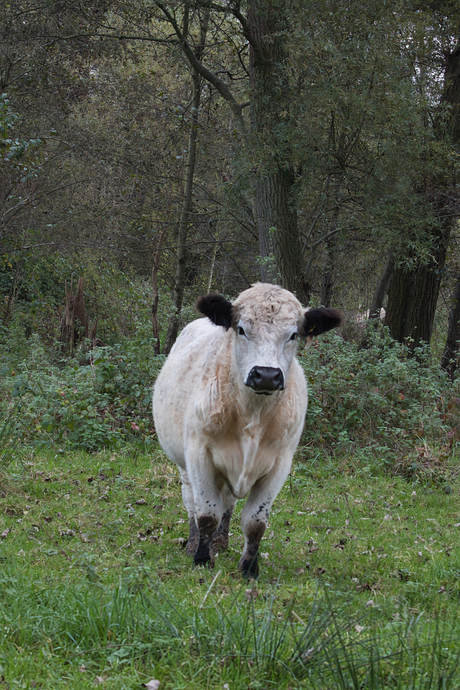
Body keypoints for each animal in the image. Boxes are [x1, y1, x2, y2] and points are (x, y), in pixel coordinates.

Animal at [154, 282, 342, 576]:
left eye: (293, 335)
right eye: (241, 329)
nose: (266, 375)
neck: (253, 414)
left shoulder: (280, 462)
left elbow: (255, 522)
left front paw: (249, 568)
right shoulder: (199, 451)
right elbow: (206, 513)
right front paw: (201, 559)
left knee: (227, 502)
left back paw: (220, 543)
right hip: (184, 464)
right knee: (191, 501)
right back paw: (195, 542)